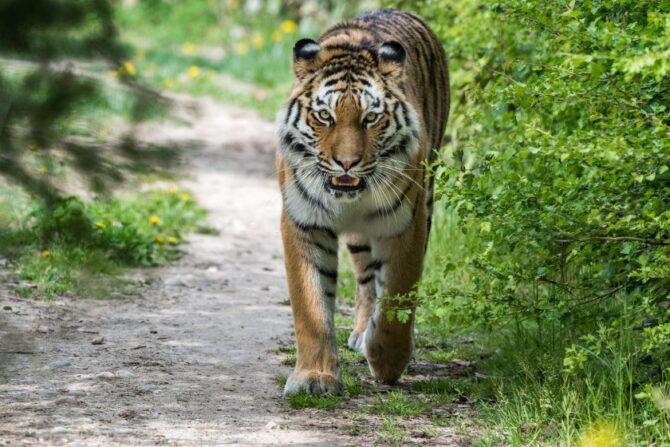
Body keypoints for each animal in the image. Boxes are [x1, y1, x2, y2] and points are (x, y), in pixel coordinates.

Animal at [278, 7, 452, 396]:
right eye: (324, 116)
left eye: (371, 118)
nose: (346, 162)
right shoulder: (304, 221)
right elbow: (310, 304)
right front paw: (314, 376)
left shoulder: (406, 225)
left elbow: (397, 298)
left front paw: (387, 361)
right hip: (359, 238)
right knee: (365, 279)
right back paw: (359, 331)